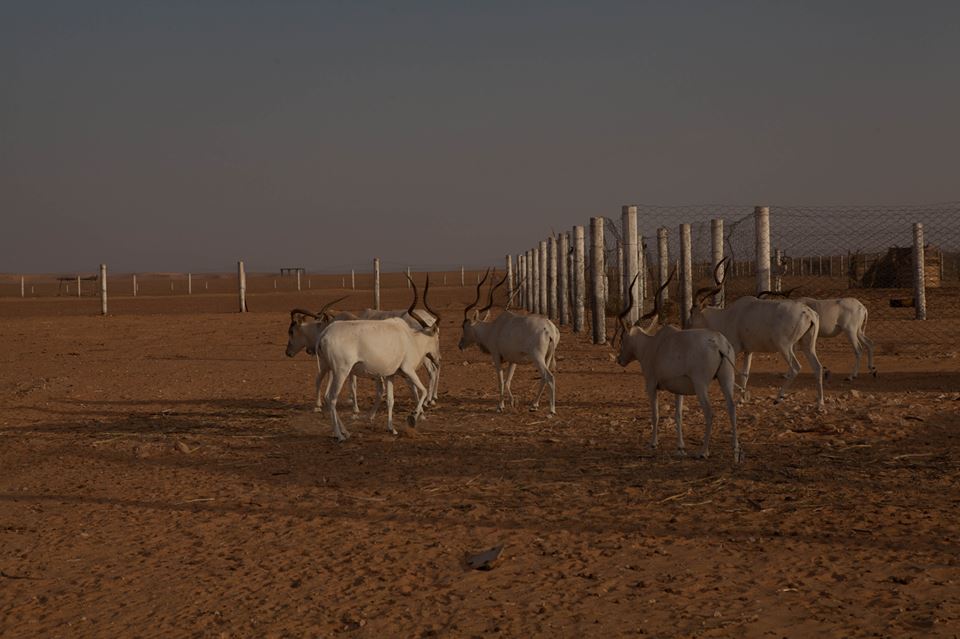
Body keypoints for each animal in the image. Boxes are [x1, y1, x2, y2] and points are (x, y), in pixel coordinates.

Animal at [460, 274, 564, 416]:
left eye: (464, 327)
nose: (460, 345)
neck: (493, 328)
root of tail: (550, 329)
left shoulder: (496, 357)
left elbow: (500, 381)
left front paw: (500, 406)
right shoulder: (512, 361)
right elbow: (507, 381)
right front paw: (512, 402)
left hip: (537, 357)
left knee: (550, 377)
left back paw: (551, 410)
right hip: (547, 357)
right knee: (543, 378)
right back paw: (534, 405)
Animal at [616, 268, 744, 462]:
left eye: (623, 337)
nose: (619, 359)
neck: (652, 345)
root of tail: (719, 344)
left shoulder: (651, 385)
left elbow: (655, 414)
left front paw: (653, 443)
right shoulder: (679, 390)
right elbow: (678, 415)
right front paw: (680, 447)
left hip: (701, 385)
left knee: (710, 412)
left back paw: (703, 452)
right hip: (726, 378)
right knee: (732, 406)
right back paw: (735, 449)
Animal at [688, 256, 824, 410]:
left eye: (691, 311)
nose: (687, 326)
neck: (727, 315)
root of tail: (809, 314)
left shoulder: (734, 348)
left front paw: (737, 400)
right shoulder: (749, 351)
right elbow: (745, 374)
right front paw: (741, 400)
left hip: (784, 346)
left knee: (796, 367)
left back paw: (778, 398)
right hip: (808, 346)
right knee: (818, 368)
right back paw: (820, 403)